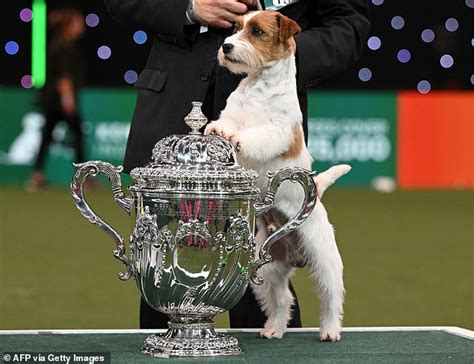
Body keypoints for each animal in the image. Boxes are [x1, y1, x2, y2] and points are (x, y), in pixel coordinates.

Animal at [204, 10, 348, 342]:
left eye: (256, 31)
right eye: (236, 26)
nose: (226, 47)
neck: (260, 86)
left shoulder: (278, 131)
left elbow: (255, 135)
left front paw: (236, 137)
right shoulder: (233, 113)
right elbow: (226, 122)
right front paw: (216, 130)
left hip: (324, 259)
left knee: (331, 297)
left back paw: (330, 330)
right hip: (267, 267)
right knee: (282, 299)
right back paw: (274, 328)